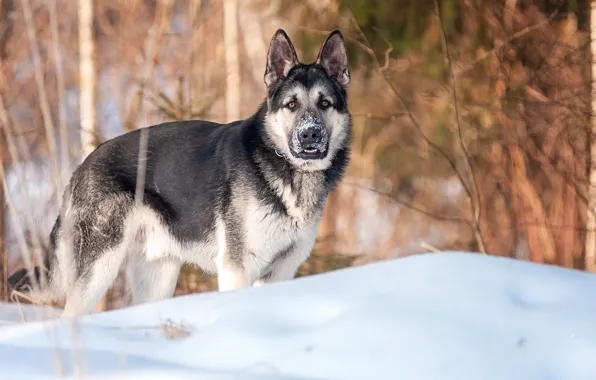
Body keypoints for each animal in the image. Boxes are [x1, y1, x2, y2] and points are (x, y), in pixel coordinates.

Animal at [7, 28, 352, 316]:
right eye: (292, 105)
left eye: (324, 103)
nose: (310, 135)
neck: (282, 167)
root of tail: (81, 167)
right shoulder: (238, 269)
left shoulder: (282, 271)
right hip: (99, 270)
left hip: (157, 278)